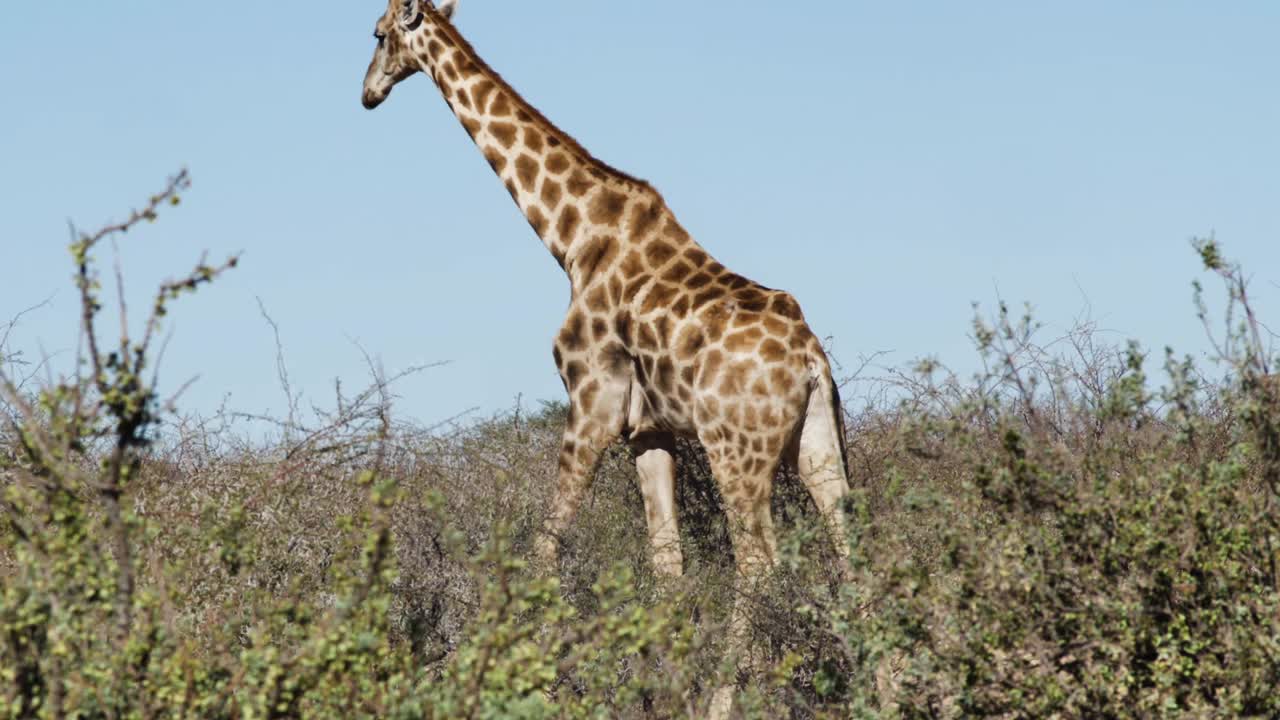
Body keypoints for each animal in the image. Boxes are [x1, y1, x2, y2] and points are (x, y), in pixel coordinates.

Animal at [362, 0, 853, 710]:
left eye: (376, 34)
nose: (367, 92)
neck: (571, 237)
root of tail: (811, 360)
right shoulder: (648, 431)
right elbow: (667, 565)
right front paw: (664, 691)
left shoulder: (591, 403)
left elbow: (542, 549)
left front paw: (503, 674)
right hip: (816, 440)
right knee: (850, 548)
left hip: (738, 449)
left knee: (759, 564)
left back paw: (727, 701)